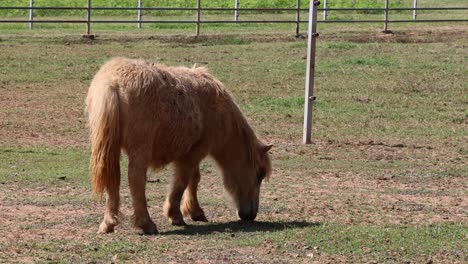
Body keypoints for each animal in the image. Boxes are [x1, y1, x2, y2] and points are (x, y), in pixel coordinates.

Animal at [86, 57, 272, 235]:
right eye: (259, 174)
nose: (251, 215)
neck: (218, 109)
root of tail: (113, 83)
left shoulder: (191, 152)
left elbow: (192, 179)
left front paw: (194, 212)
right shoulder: (195, 152)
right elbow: (183, 181)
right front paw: (176, 215)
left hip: (111, 149)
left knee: (113, 178)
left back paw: (108, 223)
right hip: (139, 150)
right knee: (136, 179)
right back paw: (146, 224)